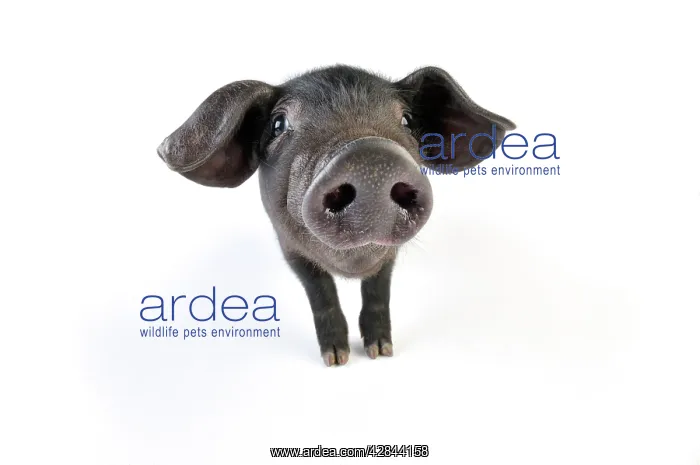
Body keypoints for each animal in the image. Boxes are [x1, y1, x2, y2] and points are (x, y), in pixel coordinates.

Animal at [157, 65, 515, 366]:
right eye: (278, 124)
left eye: (407, 120)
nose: (371, 158)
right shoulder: (290, 247)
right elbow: (321, 291)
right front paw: (337, 359)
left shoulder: (388, 255)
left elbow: (378, 290)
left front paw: (381, 352)